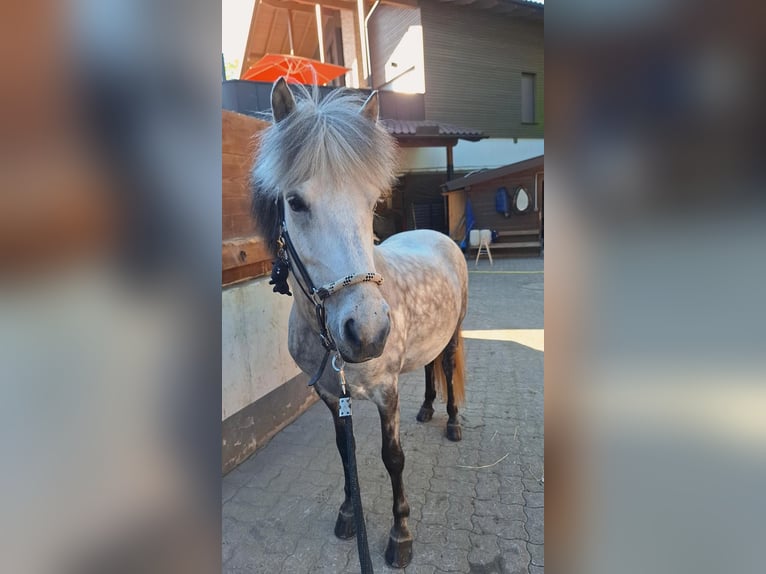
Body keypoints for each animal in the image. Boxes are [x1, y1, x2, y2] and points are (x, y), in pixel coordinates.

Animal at [250, 78, 468, 569]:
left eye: (371, 203)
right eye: (295, 202)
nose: (367, 333)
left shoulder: (386, 393)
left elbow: (393, 458)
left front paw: (400, 535)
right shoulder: (334, 398)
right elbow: (344, 453)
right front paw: (349, 514)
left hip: (453, 333)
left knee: (446, 368)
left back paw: (450, 422)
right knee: (429, 368)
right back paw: (427, 408)